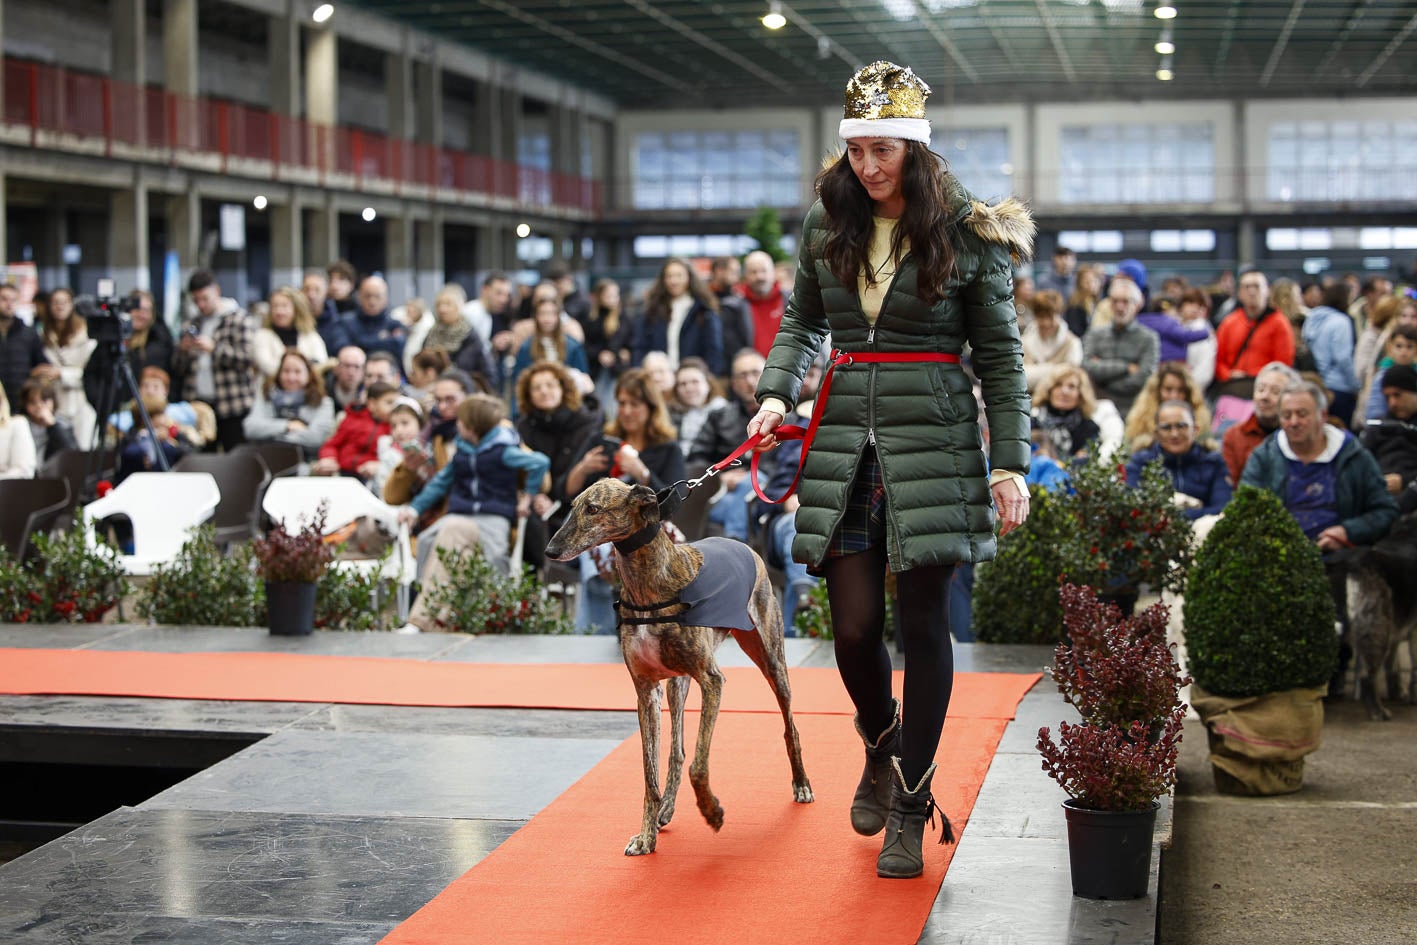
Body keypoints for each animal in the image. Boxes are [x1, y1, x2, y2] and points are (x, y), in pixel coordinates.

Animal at [544, 481, 816, 855]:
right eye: (573, 506)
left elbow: (699, 766)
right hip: (677, 684)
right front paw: (646, 835)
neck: (648, 584)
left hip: (771, 657)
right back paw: (666, 809)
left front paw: (712, 812)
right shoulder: (646, 690)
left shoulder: (713, 681)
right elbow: (651, 770)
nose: (550, 550)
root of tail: (744, 544)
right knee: (677, 750)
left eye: (594, 509)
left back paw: (801, 784)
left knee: (790, 726)